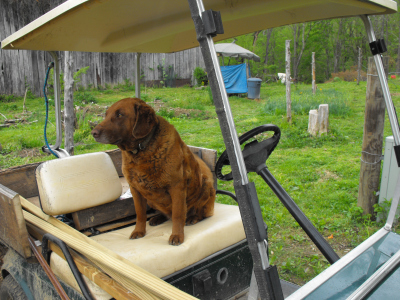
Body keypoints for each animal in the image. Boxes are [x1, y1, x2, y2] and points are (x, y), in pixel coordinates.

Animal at [91, 97, 216, 245]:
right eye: (106, 114)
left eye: (120, 115)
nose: (93, 133)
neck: (140, 151)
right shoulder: (135, 189)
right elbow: (140, 214)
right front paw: (138, 231)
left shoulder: (177, 187)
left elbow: (178, 215)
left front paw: (177, 235)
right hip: (151, 199)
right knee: (166, 214)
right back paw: (157, 218)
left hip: (206, 185)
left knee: (200, 213)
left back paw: (193, 218)